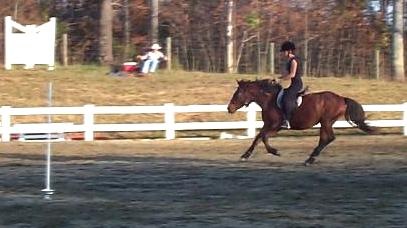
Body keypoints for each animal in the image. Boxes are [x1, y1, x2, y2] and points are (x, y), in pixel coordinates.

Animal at [228, 79, 374, 165]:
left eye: (238, 94)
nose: (229, 108)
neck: (269, 100)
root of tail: (342, 98)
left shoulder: (276, 126)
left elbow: (263, 138)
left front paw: (275, 151)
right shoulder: (268, 125)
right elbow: (257, 138)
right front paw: (245, 155)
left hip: (326, 121)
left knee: (329, 138)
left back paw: (310, 159)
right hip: (325, 122)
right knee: (325, 139)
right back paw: (311, 158)